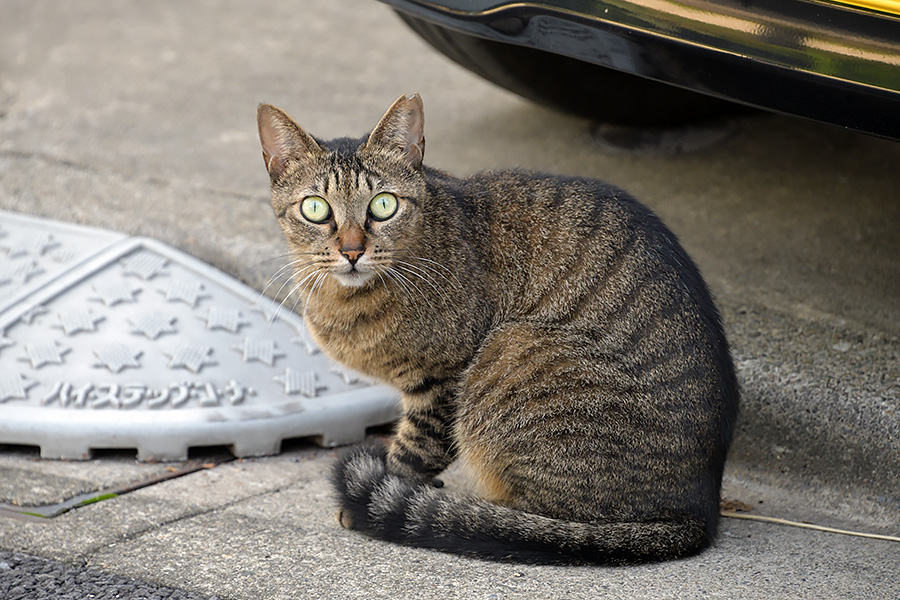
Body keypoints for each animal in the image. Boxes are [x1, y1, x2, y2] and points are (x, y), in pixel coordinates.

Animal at [255, 94, 740, 564]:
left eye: (384, 205)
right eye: (316, 209)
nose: (352, 250)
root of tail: (697, 512)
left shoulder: (443, 381)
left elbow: (415, 449)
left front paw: (387, 492)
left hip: (511, 348)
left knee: (539, 522)